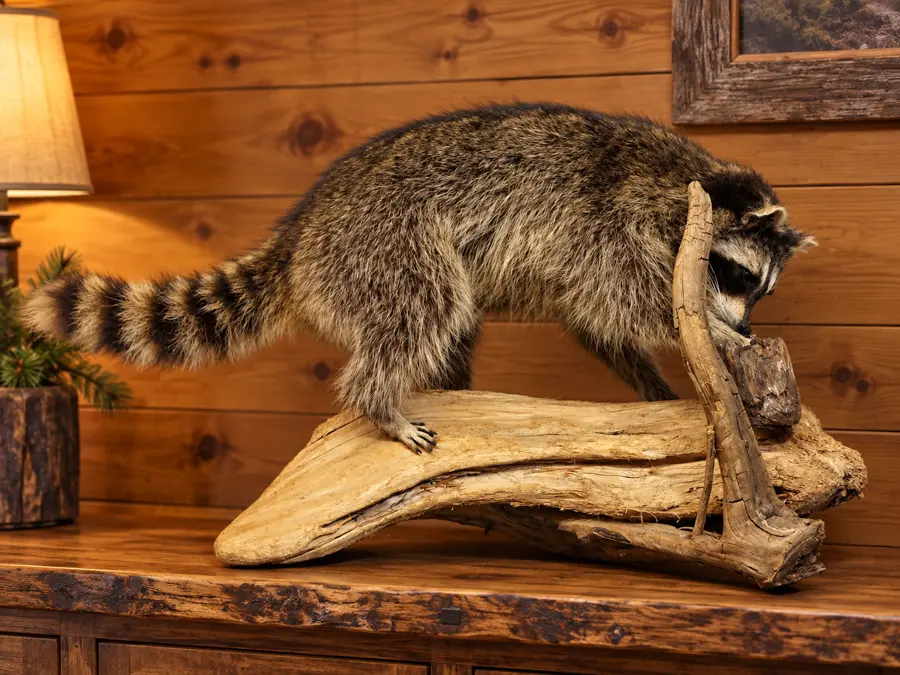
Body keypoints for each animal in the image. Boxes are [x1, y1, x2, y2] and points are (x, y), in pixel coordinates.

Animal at [23, 104, 815, 454]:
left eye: (760, 288)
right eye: (729, 273)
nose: (745, 322)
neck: (683, 185)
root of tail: (301, 228)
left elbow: (594, 323)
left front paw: (654, 382)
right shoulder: (604, 221)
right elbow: (625, 301)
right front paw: (710, 333)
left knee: (449, 323)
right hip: (384, 242)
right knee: (424, 307)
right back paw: (380, 402)